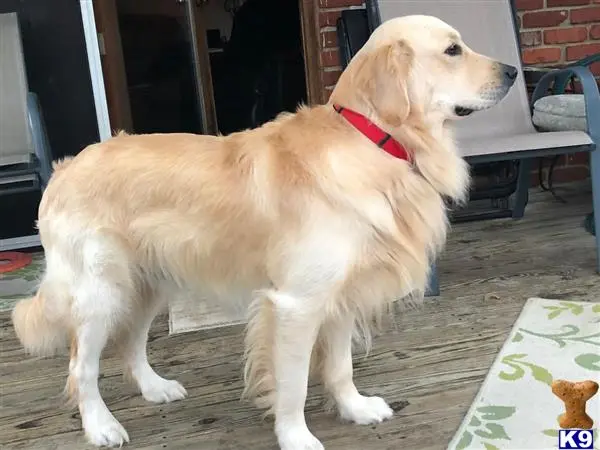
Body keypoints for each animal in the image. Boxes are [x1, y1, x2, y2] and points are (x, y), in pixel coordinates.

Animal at [11, 14, 516, 450]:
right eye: (452, 50)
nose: (513, 72)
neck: (374, 142)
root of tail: (65, 168)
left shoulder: (340, 295)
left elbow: (340, 366)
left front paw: (355, 408)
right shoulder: (296, 303)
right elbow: (293, 385)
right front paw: (296, 438)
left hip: (148, 282)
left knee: (130, 343)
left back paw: (156, 388)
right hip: (100, 290)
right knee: (81, 367)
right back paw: (101, 426)